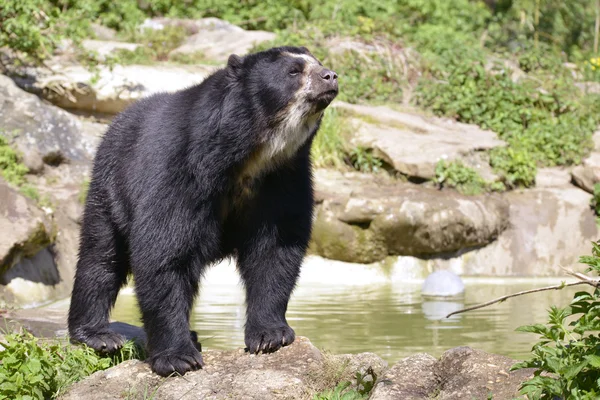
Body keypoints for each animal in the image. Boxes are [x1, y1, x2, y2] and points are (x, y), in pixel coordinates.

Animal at [68, 45, 340, 376]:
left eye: (318, 63)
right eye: (293, 71)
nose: (331, 76)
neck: (251, 153)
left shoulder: (284, 178)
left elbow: (275, 249)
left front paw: (270, 336)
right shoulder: (180, 167)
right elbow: (164, 252)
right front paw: (178, 357)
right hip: (111, 185)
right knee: (102, 256)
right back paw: (97, 334)